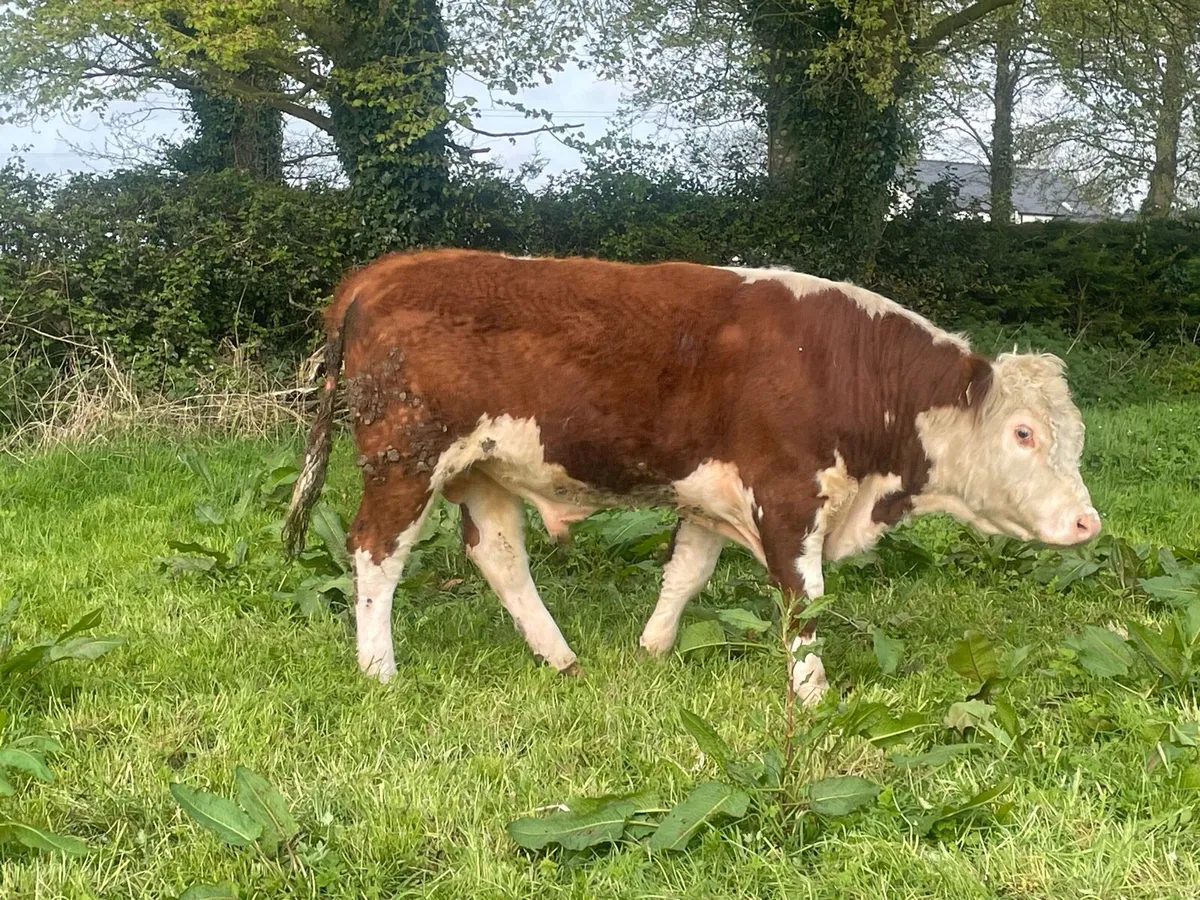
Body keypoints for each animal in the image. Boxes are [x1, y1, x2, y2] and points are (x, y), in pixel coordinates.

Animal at [282, 249, 1100, 704]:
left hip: (483, 469)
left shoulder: (714, 494)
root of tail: (386, 271)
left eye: (1077, 438)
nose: (1087, 521)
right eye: (1023, 433)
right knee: (375, 554)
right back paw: (379, 671)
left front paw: (653, 650)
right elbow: (803, 603)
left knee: (500, 557)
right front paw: (812, 697)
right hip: (405, 459)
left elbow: (686, 573)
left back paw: (562, 659)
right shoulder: (786, 495)